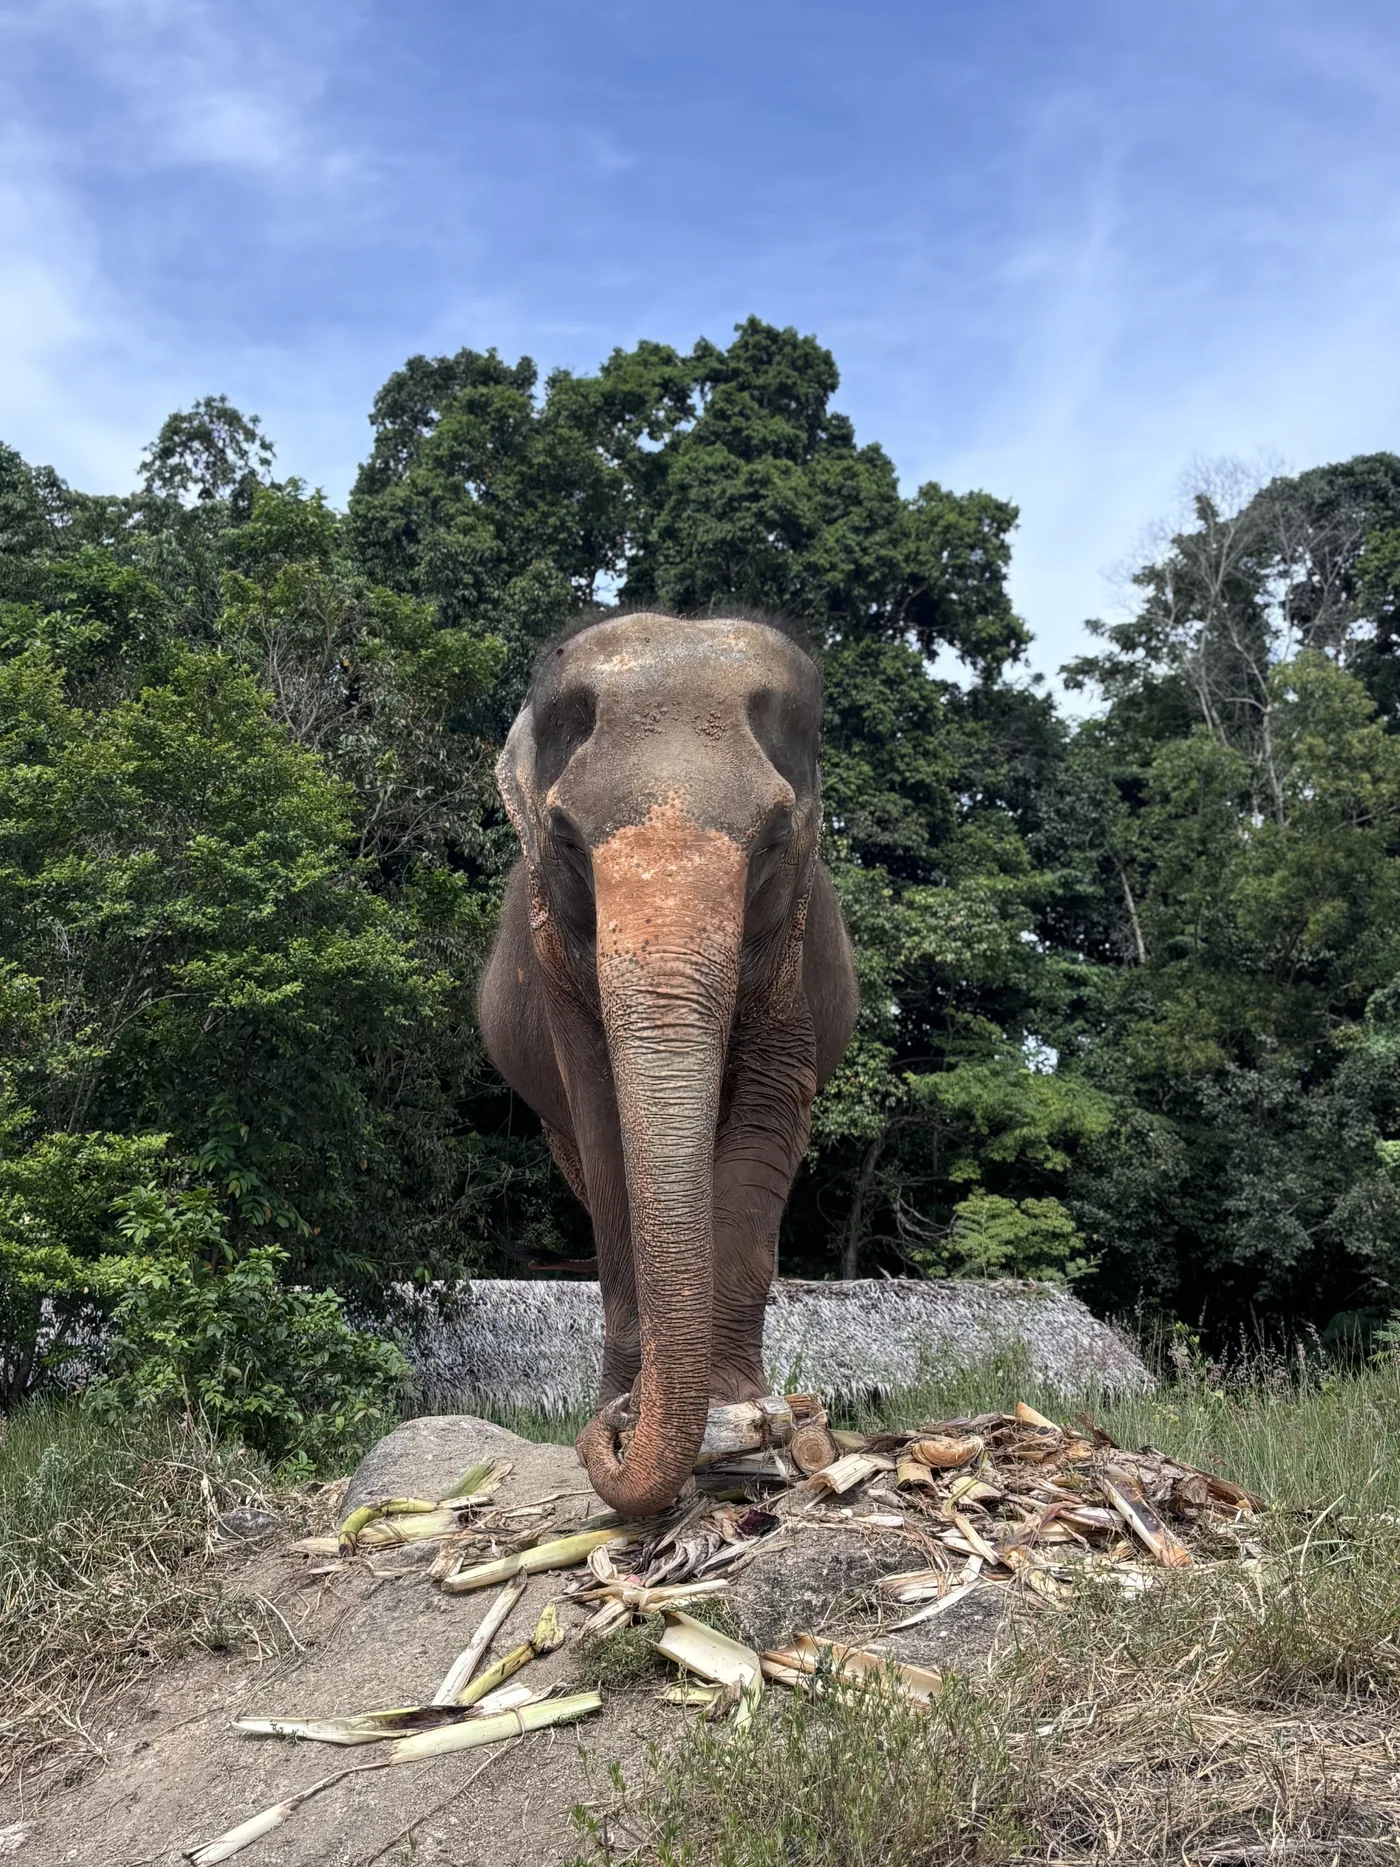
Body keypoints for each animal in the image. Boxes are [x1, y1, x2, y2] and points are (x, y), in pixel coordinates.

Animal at [478, 610, 859, 1517]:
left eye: (776, 836)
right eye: (566, 836)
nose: (615, 1427)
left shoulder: (791, 949)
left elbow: (773, 1105)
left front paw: (746, 1417)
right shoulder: (556, 960)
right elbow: (600, 1118)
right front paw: (630, 1406)